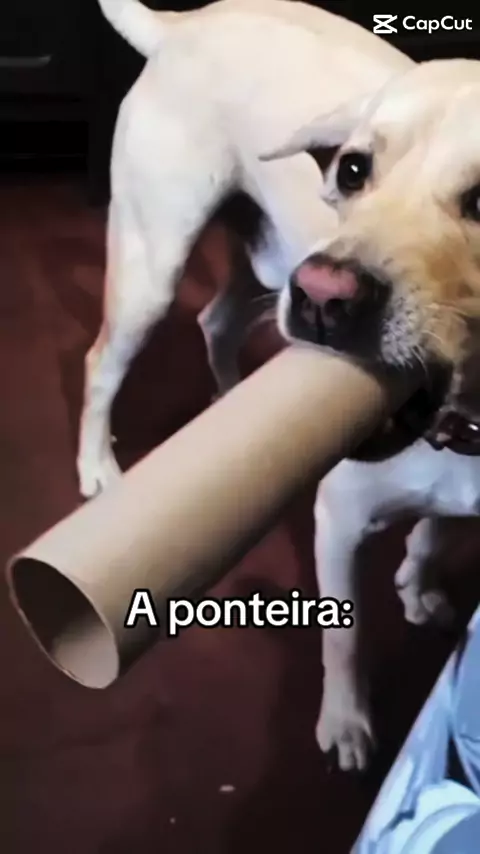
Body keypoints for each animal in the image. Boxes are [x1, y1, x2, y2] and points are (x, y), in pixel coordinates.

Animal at [79, 0, 480, 773]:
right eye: (353, 170)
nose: (326, 296)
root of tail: (184, 24)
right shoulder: (339, 522)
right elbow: (345, 635)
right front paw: (346, 723)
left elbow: (435, 532)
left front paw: (418, 584)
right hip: (155, 268)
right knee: (101, 365)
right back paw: (96, 467)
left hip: (265, 266)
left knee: (215, 320)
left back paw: (232, 404)